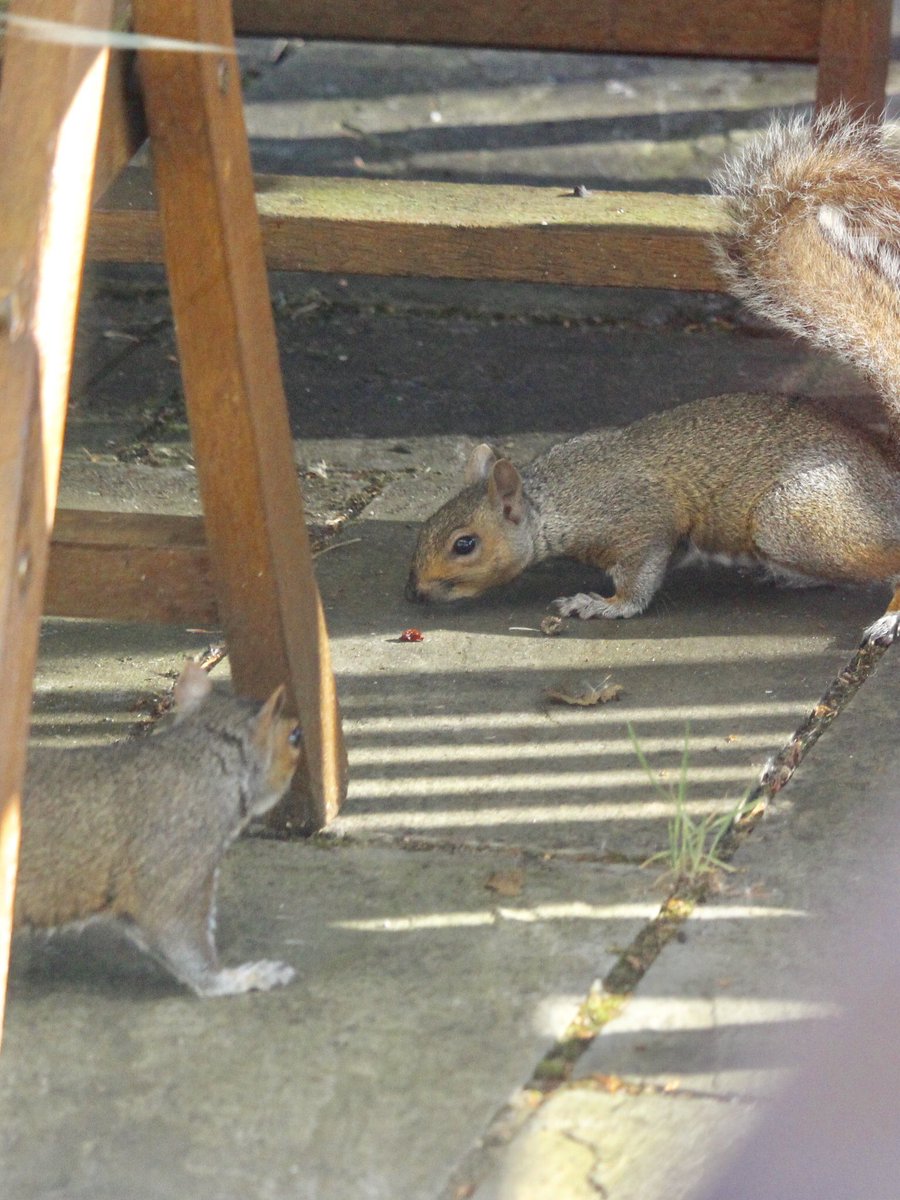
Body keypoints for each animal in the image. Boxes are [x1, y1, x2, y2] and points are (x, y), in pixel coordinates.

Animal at [405, 106, 900, 645]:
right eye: (426, 525)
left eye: (465, 544)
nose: (414, 592)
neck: (555, 499)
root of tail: (891, 482)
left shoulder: (640, 524)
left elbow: (639, 579)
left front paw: (601, 605)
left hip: (795, 520)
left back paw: (888, 616)